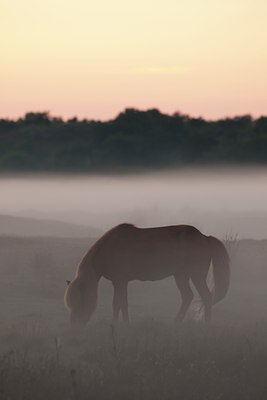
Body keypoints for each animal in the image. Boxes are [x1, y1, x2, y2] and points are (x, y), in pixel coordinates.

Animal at [64, 223, 230, 326]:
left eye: (81, 302)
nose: (74, 327)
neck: (111, 248)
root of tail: (205, 237)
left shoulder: (119, 282)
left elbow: (116, 304)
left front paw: (115, 323)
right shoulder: (122, 282)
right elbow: (124, 304)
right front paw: (126, 323)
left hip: (196, 276)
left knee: (206, 297)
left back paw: (205, 324)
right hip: (181, 276)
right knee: (188, 296)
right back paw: (177, 322)